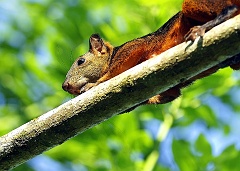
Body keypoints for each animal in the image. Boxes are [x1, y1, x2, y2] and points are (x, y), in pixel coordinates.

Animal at [62, 0, 240, 105]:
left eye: (81, 61)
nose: (65, 86)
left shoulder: (131, 48)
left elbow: (113, 71)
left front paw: (94, 84)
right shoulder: (169, 91)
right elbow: (170, 94)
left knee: (230, 9)